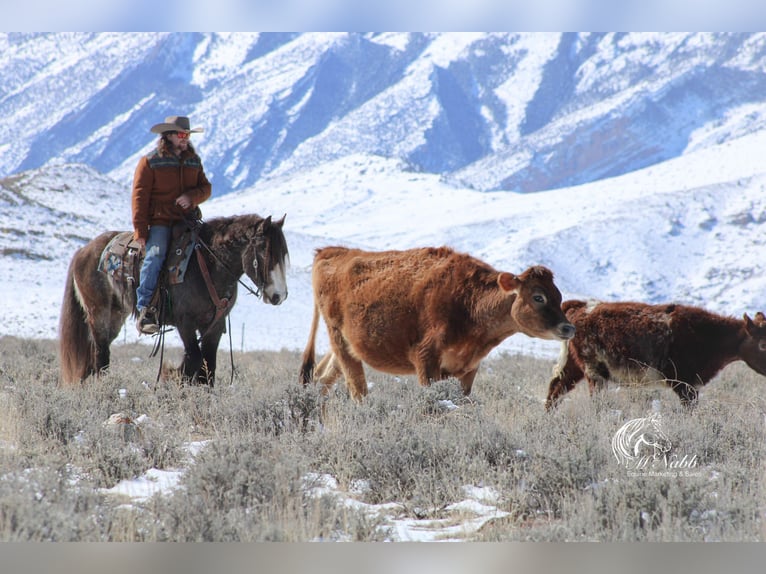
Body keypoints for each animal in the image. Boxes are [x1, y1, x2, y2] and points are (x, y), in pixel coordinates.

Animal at [58, 213, 290, 388]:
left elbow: (208, 366)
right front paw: (175, 379)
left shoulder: (214, 325)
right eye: (265, 252)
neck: (207, 266)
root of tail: (83, 250)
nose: (279, 295)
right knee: (100, 353)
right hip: (98, 312)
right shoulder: (185, 323)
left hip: (116, 315)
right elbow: (194, 360)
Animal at [300, 246, 576, 400]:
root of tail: (331, 251)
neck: (469, 304)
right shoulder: (426, 360)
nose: (568, 328)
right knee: (357, 392)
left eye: (559, 296)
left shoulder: (467, 368)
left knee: (320, 381)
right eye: (538, 297)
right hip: (340, 342)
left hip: (345, 349)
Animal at [544, 302, 766, 410]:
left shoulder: (691, 385)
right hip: (594, 372)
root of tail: (579, 308)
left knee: (556, 388)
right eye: (763, 344)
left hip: (574, 366)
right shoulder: (683, 384)